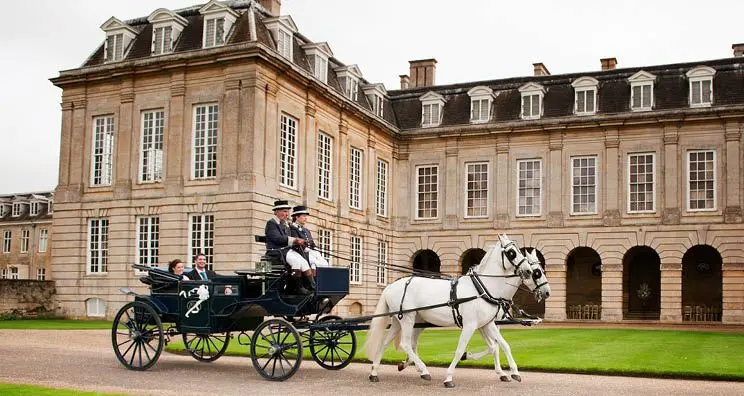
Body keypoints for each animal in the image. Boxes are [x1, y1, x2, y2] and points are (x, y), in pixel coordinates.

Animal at [364, 235, 548, 386]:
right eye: (511, 252)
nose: (547, 292)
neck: (483, 289)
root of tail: (391, 285)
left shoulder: (487, 324)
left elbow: (501, 345)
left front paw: (512, 372)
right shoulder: (471, 325)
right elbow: (462, 349)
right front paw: (449, 377)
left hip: (400, 320)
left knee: (386, 343)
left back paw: (375, 372)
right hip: (408, 318)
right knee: (406, 343)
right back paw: (423, 369)